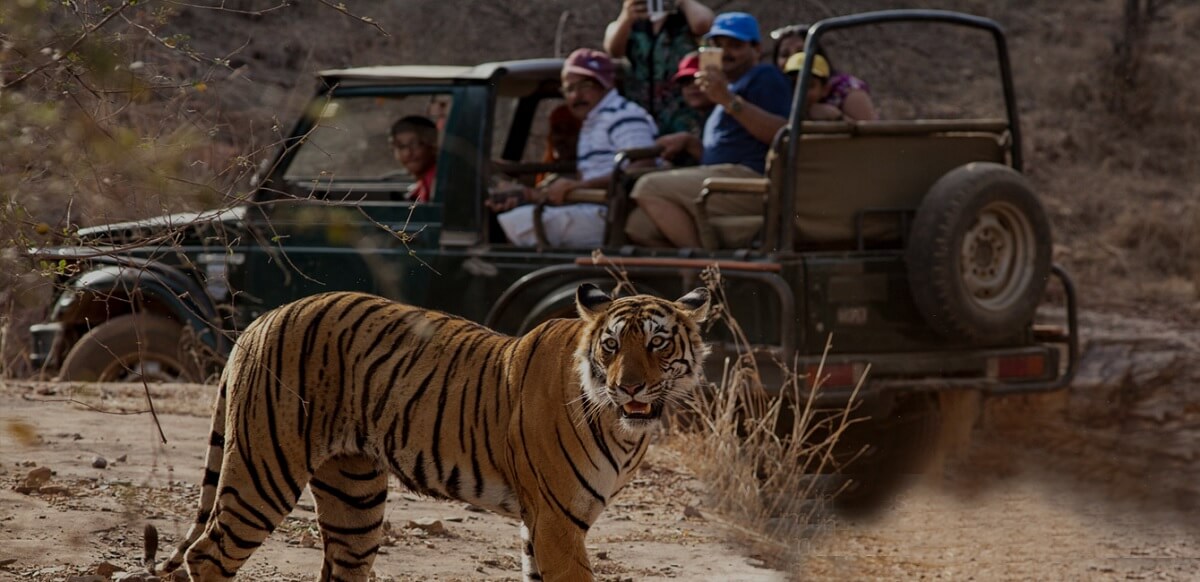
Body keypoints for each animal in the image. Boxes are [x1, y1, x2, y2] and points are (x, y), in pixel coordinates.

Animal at [150, 282, 710, 580]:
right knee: (207, 553)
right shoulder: (557, 520)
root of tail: (261, 318)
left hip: (354, 498)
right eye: (611, 346)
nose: (629, 387)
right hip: (264, 469)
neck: (625, 428)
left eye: (657, 343)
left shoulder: (541, 522)